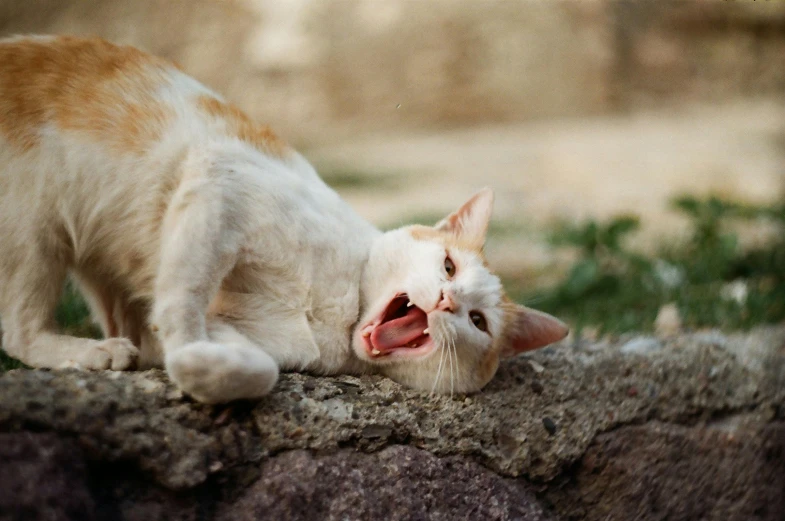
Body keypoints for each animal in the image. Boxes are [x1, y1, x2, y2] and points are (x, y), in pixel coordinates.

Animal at [0, 35, 568, 402]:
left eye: (477, 322)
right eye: (448, 265)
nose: (448, 300)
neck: (341, 319)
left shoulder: (237, 331)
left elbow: (260, 371)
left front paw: (192, 366)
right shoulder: (221, 182)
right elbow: (184, 296)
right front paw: (180, 347)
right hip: (35, 228)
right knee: (18, 329)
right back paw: (92, 352)